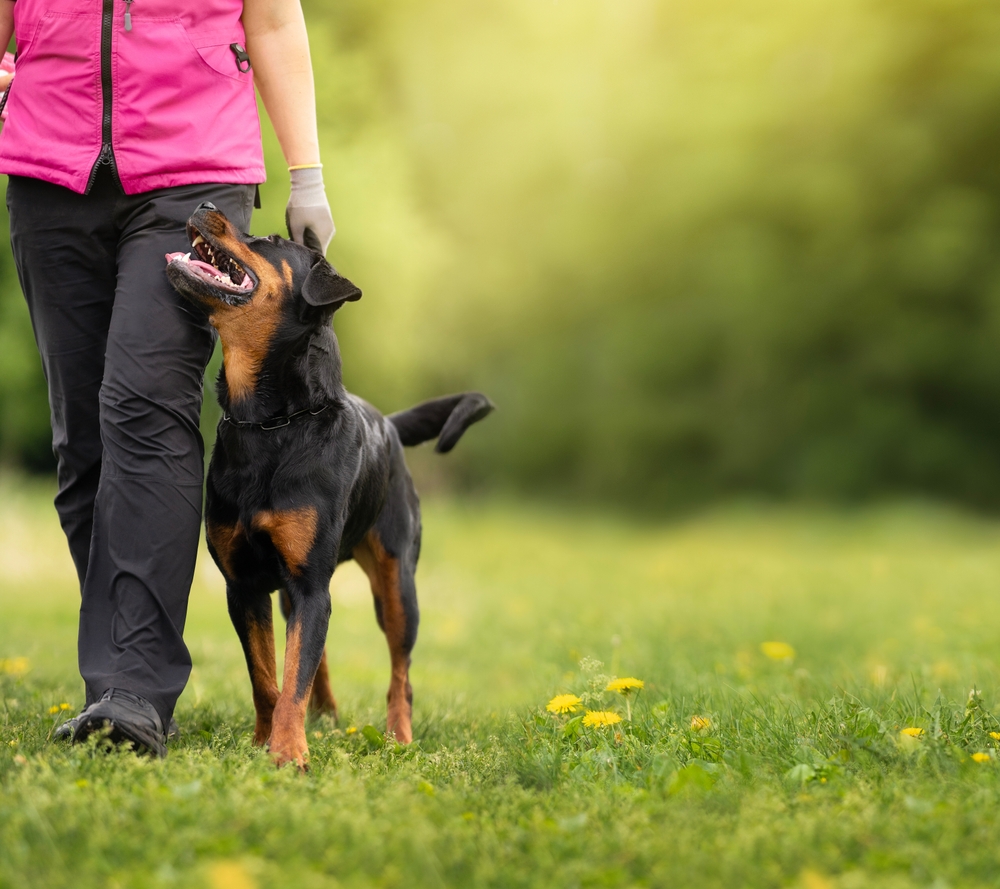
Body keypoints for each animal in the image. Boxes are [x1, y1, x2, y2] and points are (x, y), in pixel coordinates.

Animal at [165, 205, 492, 768]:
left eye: (271, 241)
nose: (204, 208)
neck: (269, 423)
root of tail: (389, 425)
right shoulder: (245, 585)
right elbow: (268, 675)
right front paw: (265, 742)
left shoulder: (311, 584)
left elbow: (293, 675)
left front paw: (289, 754)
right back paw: (325, 716)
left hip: (397, 585)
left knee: (400, 671)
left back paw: (398, 735)